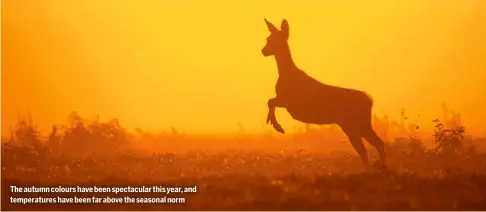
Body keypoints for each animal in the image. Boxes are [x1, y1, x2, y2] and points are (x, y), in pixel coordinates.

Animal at [262, 18, 388, 167]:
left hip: (357, 123)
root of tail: (370, 101)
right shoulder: (285, 101)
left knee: (374, 145)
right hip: (352, 125)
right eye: (268, 38)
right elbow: (270, 102)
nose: (263, 50)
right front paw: (273, 123)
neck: (286, 73)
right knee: (367, 147)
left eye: (272, 40)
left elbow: (270, 101)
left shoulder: (289, 101)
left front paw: (277, 126)